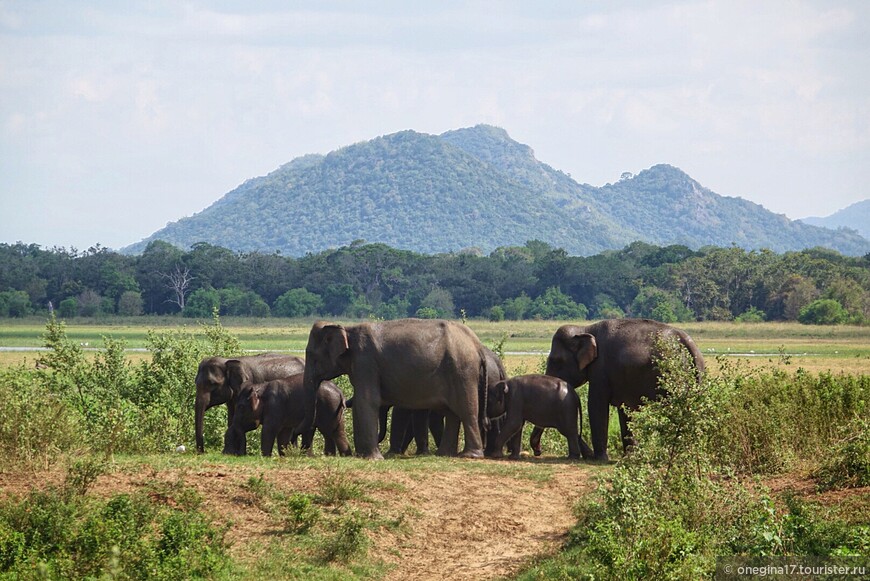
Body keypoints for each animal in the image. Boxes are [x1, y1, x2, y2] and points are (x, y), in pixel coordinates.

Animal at [223, 372, 352, 458]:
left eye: (240, 407)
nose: (240, 454)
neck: (261, 388)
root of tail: (340, 392)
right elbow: (283, 433)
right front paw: (283, 455)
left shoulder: (275, 406)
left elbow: (269, 430)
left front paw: (266, 456)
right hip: (334, 410)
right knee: (335, 432)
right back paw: (341, 456)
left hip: (329, 406)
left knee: (331, 432)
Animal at [302, 318, 490, 458]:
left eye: (311, 354)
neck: (347, 329)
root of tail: (477, 345)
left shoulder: (366, 362)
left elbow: (366, 400)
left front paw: (371, 458)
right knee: (452, 413)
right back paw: (444, 454)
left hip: (462, 371)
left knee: (466, 410)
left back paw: (469, 455)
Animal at [544, 318, 708, 462]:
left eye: (555, 360)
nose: (588, 456)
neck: (585, 329)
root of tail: (691, 345)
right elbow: (625, 411)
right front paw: (629, 458)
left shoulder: (600, 369)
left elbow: (596, 405)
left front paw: (600, 459)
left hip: (672, 375)